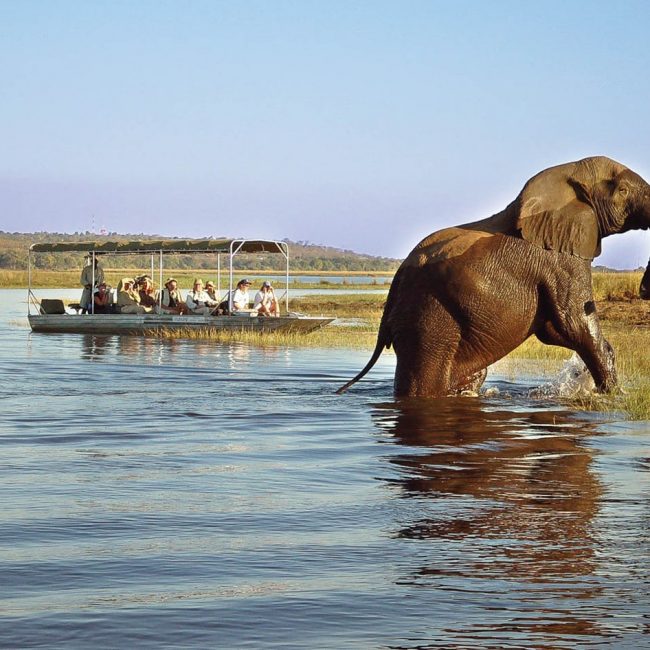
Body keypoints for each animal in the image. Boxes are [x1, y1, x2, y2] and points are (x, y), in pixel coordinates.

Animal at [336, 157, 648, 394]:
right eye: (622, 191)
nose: (644, 288)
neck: (567, 173)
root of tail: (395, 283)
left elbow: (555, 329)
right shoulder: (560, 259)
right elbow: (575, 324)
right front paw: (613, 396)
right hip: (427, 318)